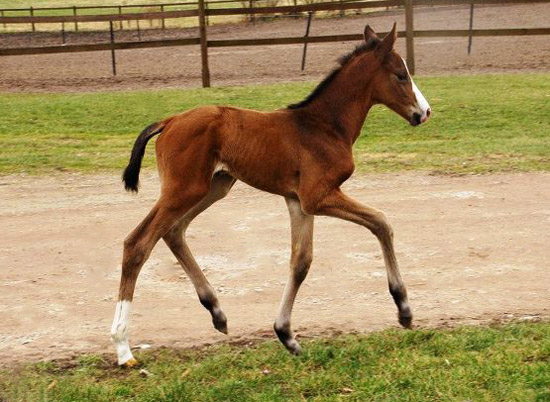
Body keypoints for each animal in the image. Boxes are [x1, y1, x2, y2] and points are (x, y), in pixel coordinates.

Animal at [112, 23, 432, 366]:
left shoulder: (298, 202)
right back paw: (123, 347)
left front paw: (286, 335)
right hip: (184, 189)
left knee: (173, 232)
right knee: (138, 243)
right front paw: (404, 309)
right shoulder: (318, 196)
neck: (325, 125)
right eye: (401, 74)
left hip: (214, 186)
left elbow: (301, 261)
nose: (425, 112)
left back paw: (216, 312)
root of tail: (169, 120)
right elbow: (381, 222)